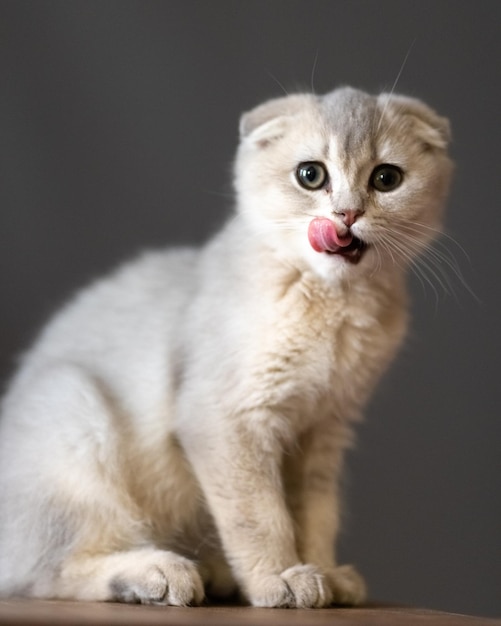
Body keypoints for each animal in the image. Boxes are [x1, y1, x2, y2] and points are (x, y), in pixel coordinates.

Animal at [0, 86, 454, 604]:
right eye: (311, 175)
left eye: (386, 178)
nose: (346, 214)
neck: (332, 307)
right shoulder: (226, 420)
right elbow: (261, 516)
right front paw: (279, 577)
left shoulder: (322, 431)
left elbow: (316, 516)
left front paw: (323, 572)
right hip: (73, 410)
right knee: (46, 573)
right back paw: (158, 574)